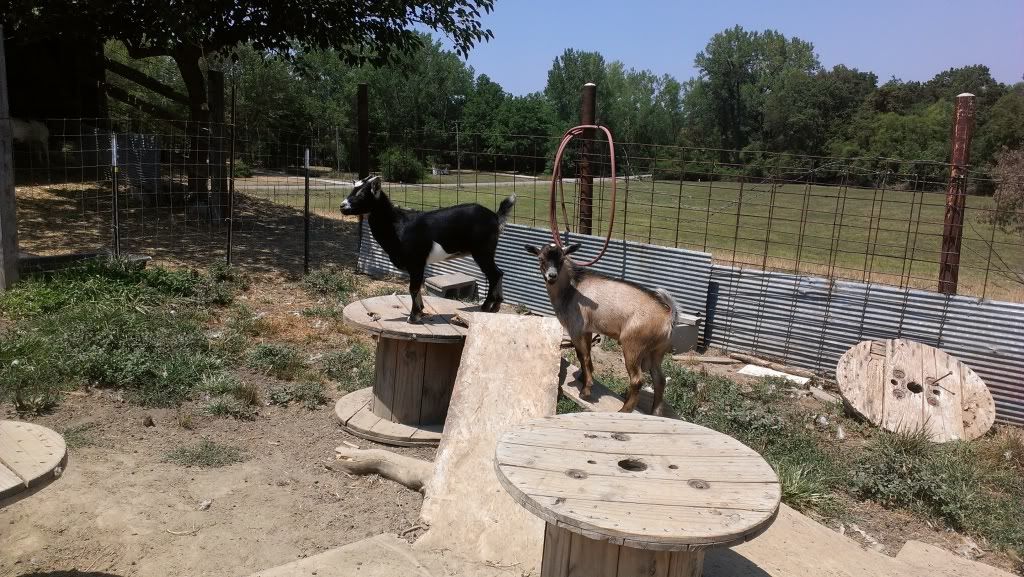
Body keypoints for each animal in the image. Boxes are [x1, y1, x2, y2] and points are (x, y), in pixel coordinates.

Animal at [341, 176, 515, 323]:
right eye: (352, 190)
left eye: (362, 194)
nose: (342, 206)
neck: (397, 225)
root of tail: (495, 217)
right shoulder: (415, 265)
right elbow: (416, 288)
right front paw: (420, 311)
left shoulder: (416, 261)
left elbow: (413, 288)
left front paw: (413, 316)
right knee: (499, 273)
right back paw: (495, 306)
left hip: (482, 250)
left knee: (494, 274)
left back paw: (486, 307)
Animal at [526, 242, 677, 415]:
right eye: (540, 258)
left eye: (562, 259)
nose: (552, 276)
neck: (571, 289)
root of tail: (667, 317)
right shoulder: (587, 330)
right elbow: (586, 356)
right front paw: (583, 377)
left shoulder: (575, 328)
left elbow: (582, 356)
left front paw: (585, 390)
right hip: (657, 351)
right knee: (660, 380)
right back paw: (655, 412)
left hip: (633, 345)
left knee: (637, 379)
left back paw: (624, 410)